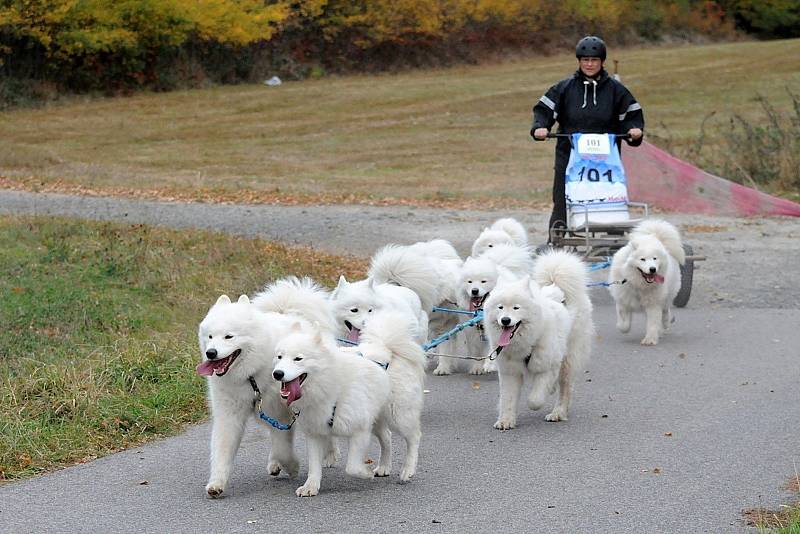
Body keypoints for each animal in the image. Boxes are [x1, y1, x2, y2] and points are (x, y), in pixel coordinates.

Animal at [198, 278, 340, 500]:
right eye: (210, 336)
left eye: (229, 337)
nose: (210, 353)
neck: (250, 375)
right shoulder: (229, 414)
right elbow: (222, 449)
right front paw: (216, 484)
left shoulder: (279, 410)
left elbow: (283, 446)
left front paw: (292, 466)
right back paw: (274, 463)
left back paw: (330, 455)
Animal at [272, 322, 390, 498]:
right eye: (279, 357)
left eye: (298, 358)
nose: (277, 374)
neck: (330, 386)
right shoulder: (314, 433)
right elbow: (314, 466)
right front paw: (310, 487)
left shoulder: (360, 430)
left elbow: (352, 467)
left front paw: (366, 472)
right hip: (375, 422)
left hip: (388, 418)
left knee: (397, 438)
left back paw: (394, 468)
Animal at [482, 251, 588, 432]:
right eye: (500, 307)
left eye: (516, 308)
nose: (505, 320)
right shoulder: (510, 372)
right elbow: (508, 399)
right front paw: (506, 421)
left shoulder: (547, 366)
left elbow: (535, 399)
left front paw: (539, 398)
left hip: (568, 359)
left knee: (565, 389)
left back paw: (558, 413)